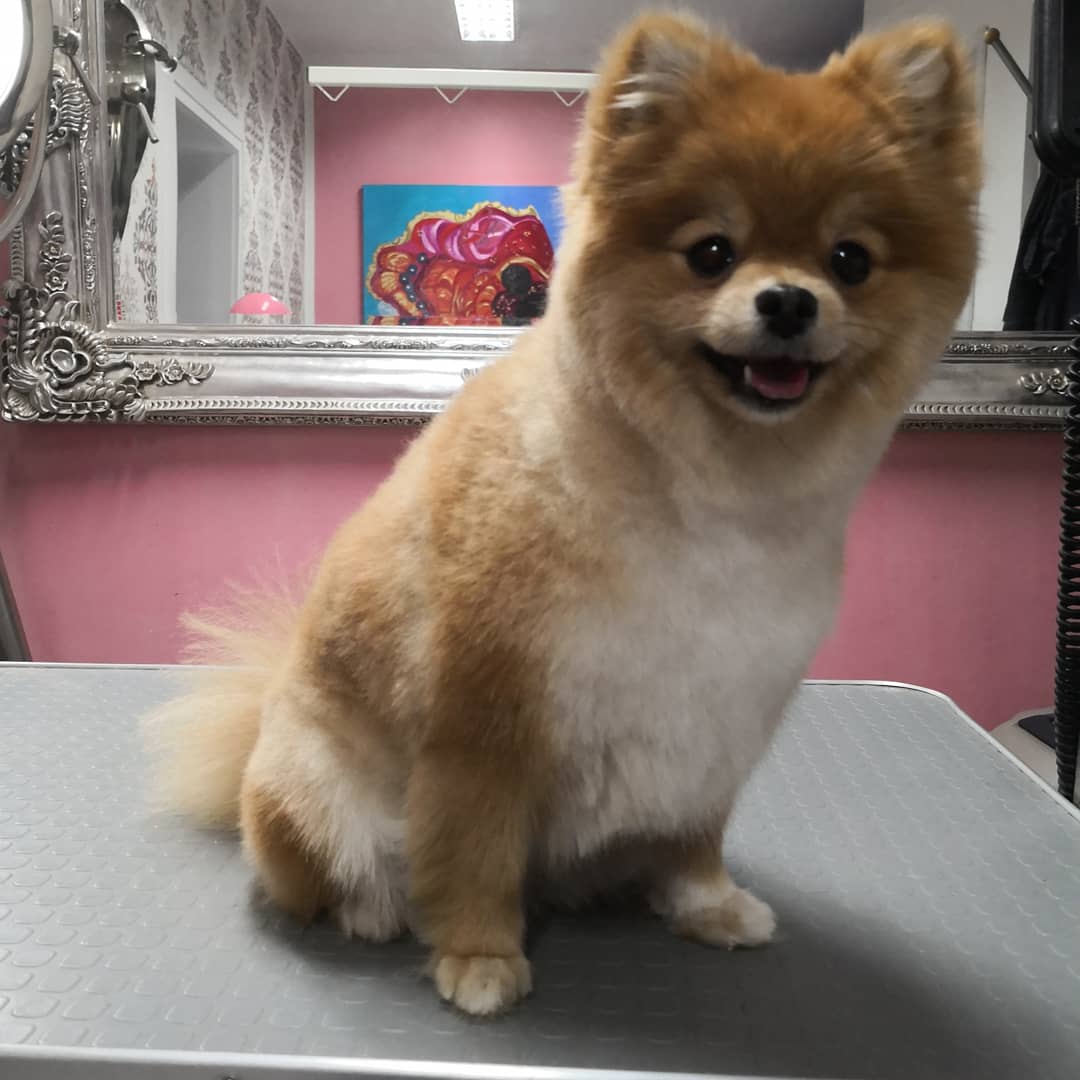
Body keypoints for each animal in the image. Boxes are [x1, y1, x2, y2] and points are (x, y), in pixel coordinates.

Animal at [143, 12, 980, 1016]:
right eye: (711, 252)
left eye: (850, 261)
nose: (787, 300)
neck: (700, 493)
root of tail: (264, 721)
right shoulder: (485, 722)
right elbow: (470, 852)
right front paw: (478, 958)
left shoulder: (718, 722)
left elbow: (697, 834)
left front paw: (707, 902)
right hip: (310, 790)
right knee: (318, 874)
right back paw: (372, 910)